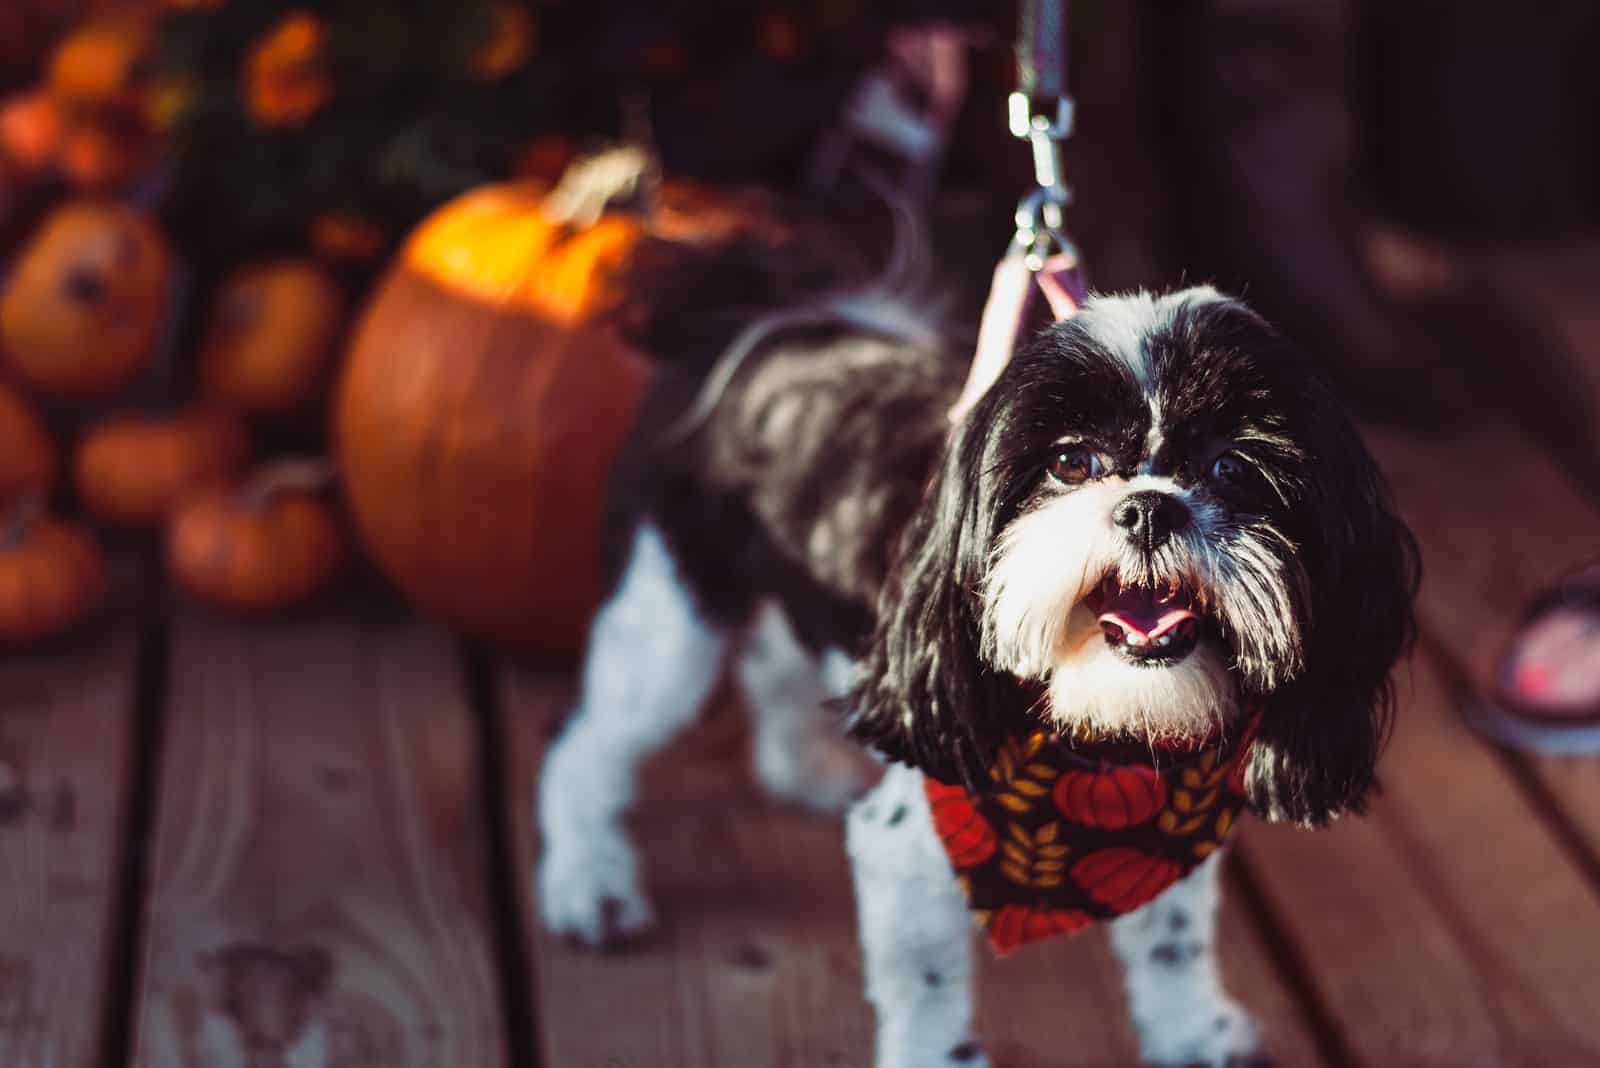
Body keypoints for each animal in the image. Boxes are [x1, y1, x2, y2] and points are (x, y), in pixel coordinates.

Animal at [534, 219, 1414, 1068]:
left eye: (1234, 468)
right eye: (1071, 462)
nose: (1149, 507)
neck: (1106, 748)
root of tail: (765, 318)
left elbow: (1173, 941)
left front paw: (1192, 1035)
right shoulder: (909, 845)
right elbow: (927, 999)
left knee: (771, 668)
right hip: (666, 617)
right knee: (587, 747)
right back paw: (587, 882)